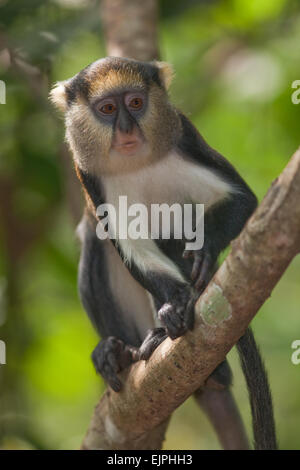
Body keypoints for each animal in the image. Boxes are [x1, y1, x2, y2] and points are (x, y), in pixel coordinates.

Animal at [50, 57, 278, 450]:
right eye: (107, 109)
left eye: (135, 103)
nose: (127, 129)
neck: (137, 163)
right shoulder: (90, 176)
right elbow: (129, 245)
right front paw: (175, 304)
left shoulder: (184, 137)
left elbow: (242, 199)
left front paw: (203, 249)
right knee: (95, 243)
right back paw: (121, 352)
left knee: (172, 232)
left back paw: (204, 365)